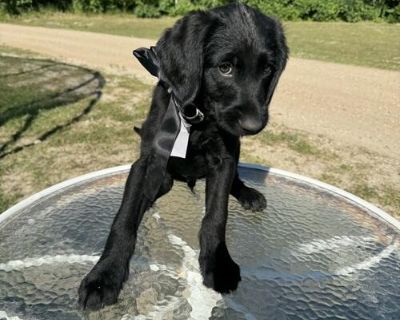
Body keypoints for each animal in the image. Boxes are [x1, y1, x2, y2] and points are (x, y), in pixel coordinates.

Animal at [78, 3, 286, 310]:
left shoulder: (224, 161)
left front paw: (218, 264)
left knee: (235, 181)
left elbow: (215, 216)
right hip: (162, 177)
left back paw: (248, 194)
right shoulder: (147, 162)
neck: (195, 115)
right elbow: (124, 219)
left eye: (268, 69)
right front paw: (104, 275)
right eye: (225, 68)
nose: (254, 125)